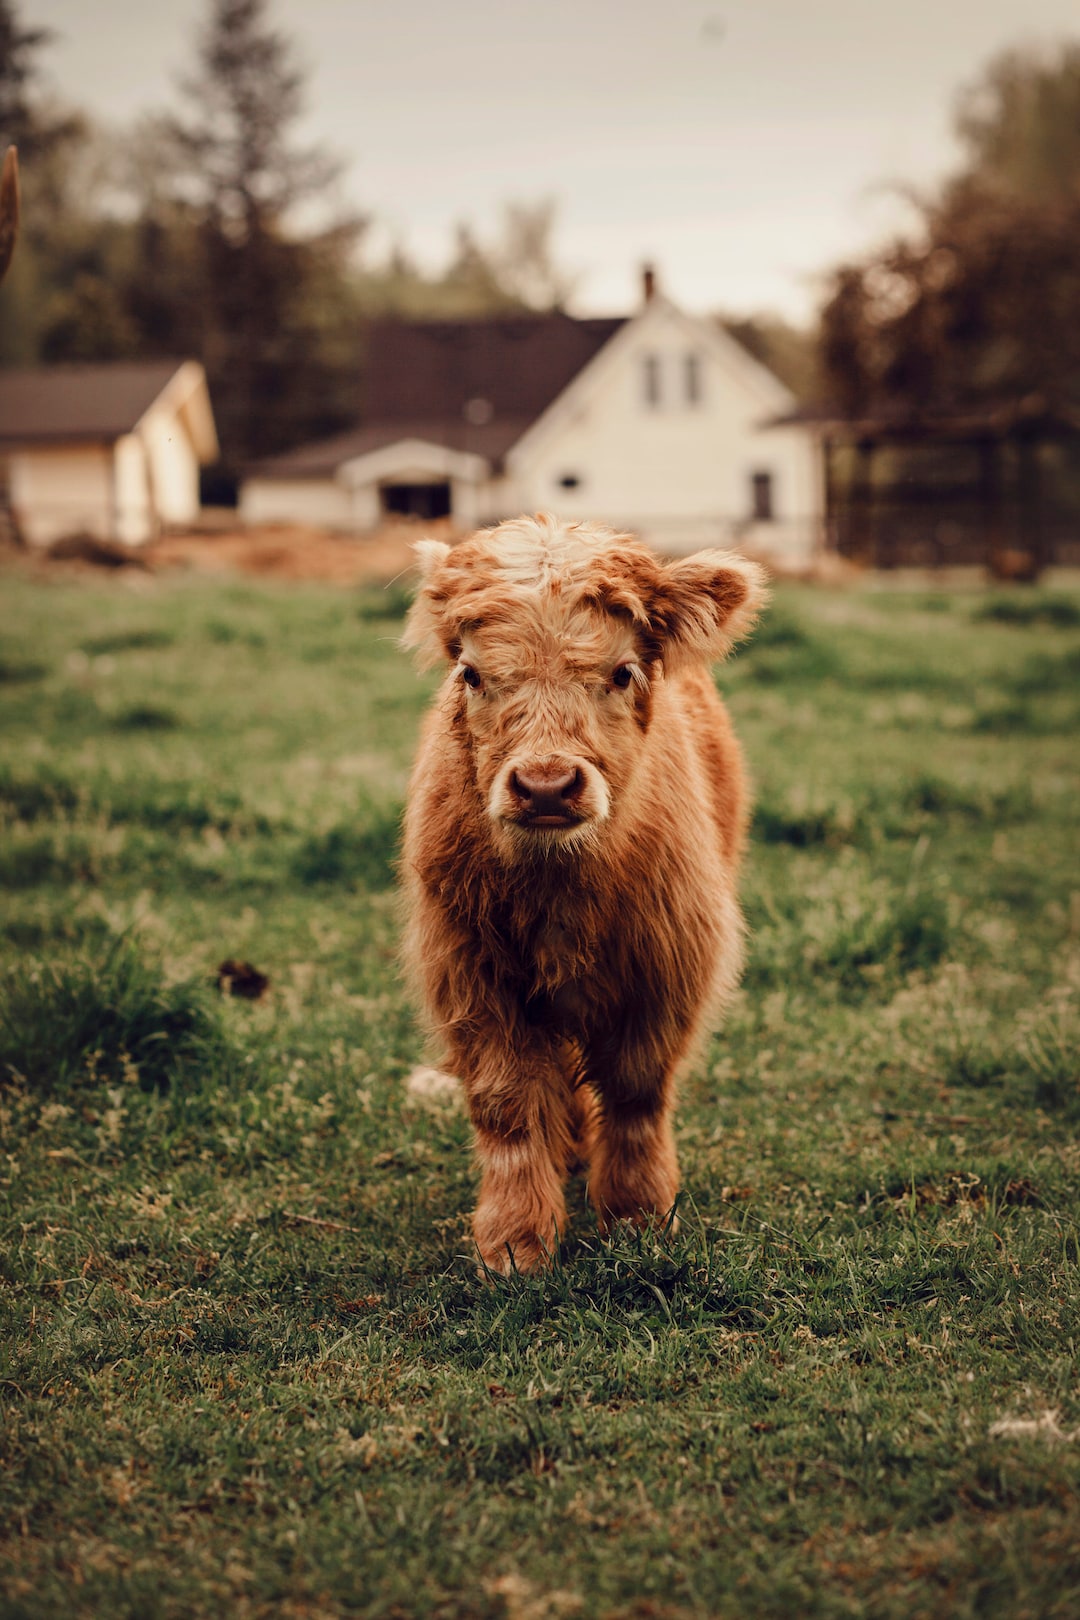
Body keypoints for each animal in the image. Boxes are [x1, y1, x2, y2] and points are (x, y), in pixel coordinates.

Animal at [401, 514, 766, 1275]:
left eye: (622, 671)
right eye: (471, 672)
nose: (545, 786)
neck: (559, 892)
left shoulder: (665, 971)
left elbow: (634, 1095)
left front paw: (637, 1215)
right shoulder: (470, 975)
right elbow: (508, 1106)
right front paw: (515, 1242)